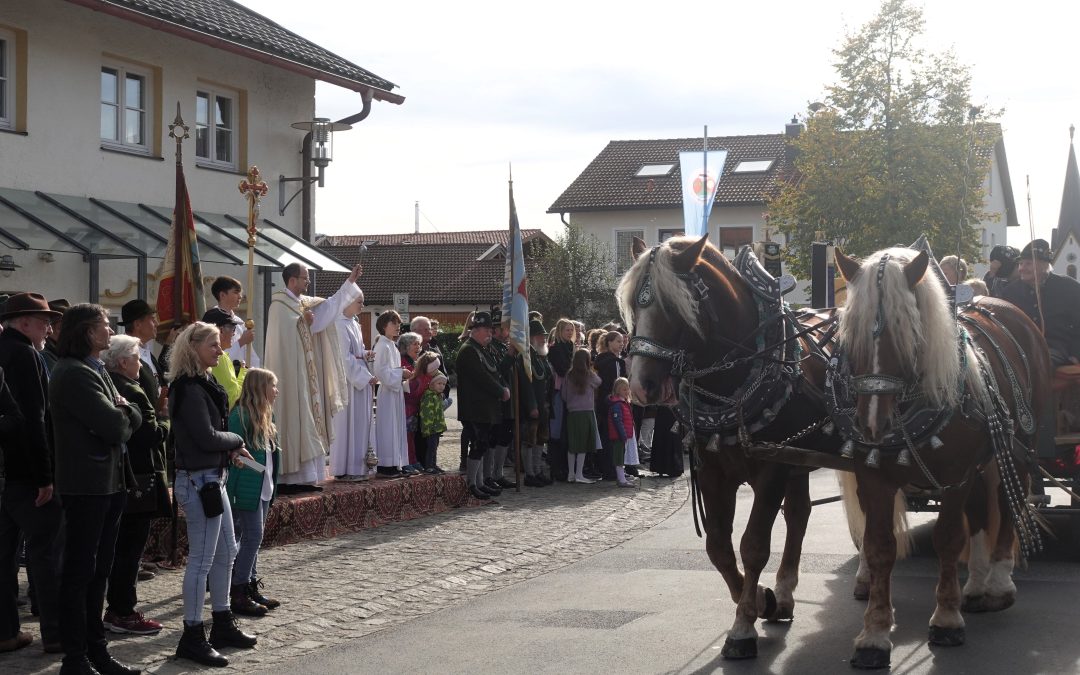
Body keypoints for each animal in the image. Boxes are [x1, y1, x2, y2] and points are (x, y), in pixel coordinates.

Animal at [617, 235, 859, 656]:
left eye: (673, 307)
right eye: (634, 306)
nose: (641, 386)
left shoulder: (772, 469)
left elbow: (753, 545)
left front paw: (743, 626)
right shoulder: (714, 470)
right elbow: (718, 547)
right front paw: (762, 600)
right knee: (800, 514)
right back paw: (785, 594)